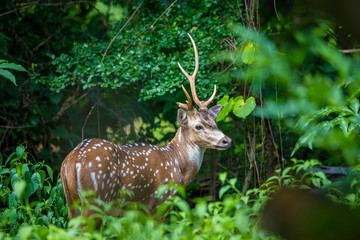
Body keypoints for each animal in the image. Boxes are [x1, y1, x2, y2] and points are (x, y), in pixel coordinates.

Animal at [60, 33, 232, 223]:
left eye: (215, 122)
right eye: (198, 126)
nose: (227, 140)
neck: (179, 167)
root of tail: (71, 162)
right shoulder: (161, 201)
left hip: (70, 201)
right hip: (96, 196)